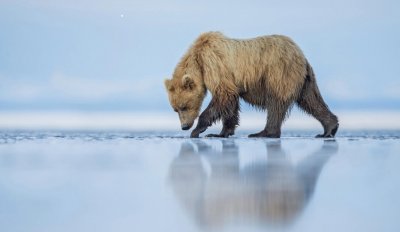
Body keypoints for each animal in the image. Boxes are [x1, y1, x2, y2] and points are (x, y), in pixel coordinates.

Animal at [165, 32, 338, 138]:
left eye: (184, 106)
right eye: (175, 109)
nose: (184, 126)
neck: (198, 61)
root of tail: (301, 54)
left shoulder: (214, 64)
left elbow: (223, 95)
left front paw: (198, 130)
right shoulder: (230, 79)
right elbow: (230, 103)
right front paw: (221, 132)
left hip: (278, 73)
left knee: (276, 103)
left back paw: (264, 132)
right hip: (304, 79)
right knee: (311, 100)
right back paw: (329, 129)